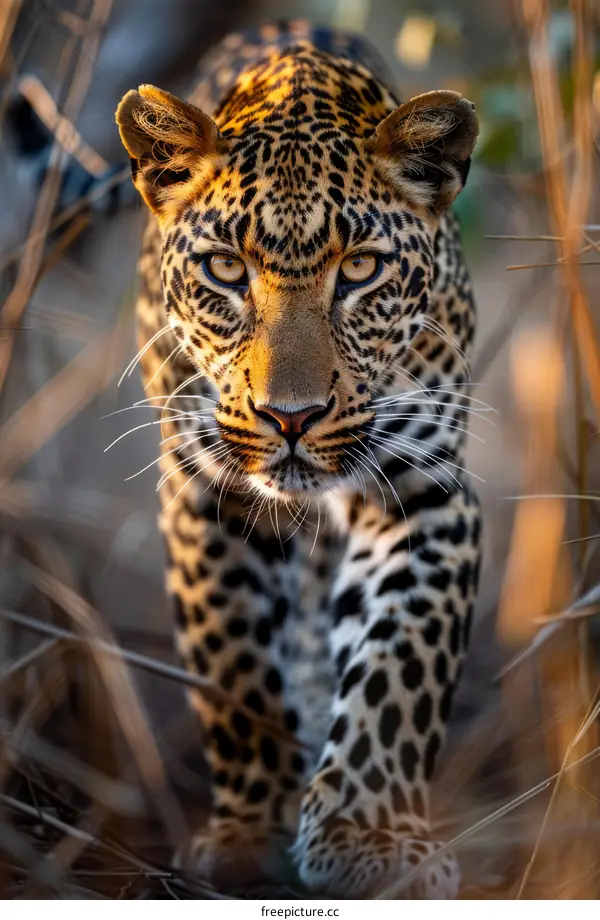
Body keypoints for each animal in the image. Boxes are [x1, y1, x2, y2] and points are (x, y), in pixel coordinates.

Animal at [115, 19, 482, 899]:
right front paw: (252, 830)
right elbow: (235, 664)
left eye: (361, 270)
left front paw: (368, 834)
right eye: (225, 269)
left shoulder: (424, 492)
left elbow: (398, 667)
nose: (291, 417)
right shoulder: (207, 494)